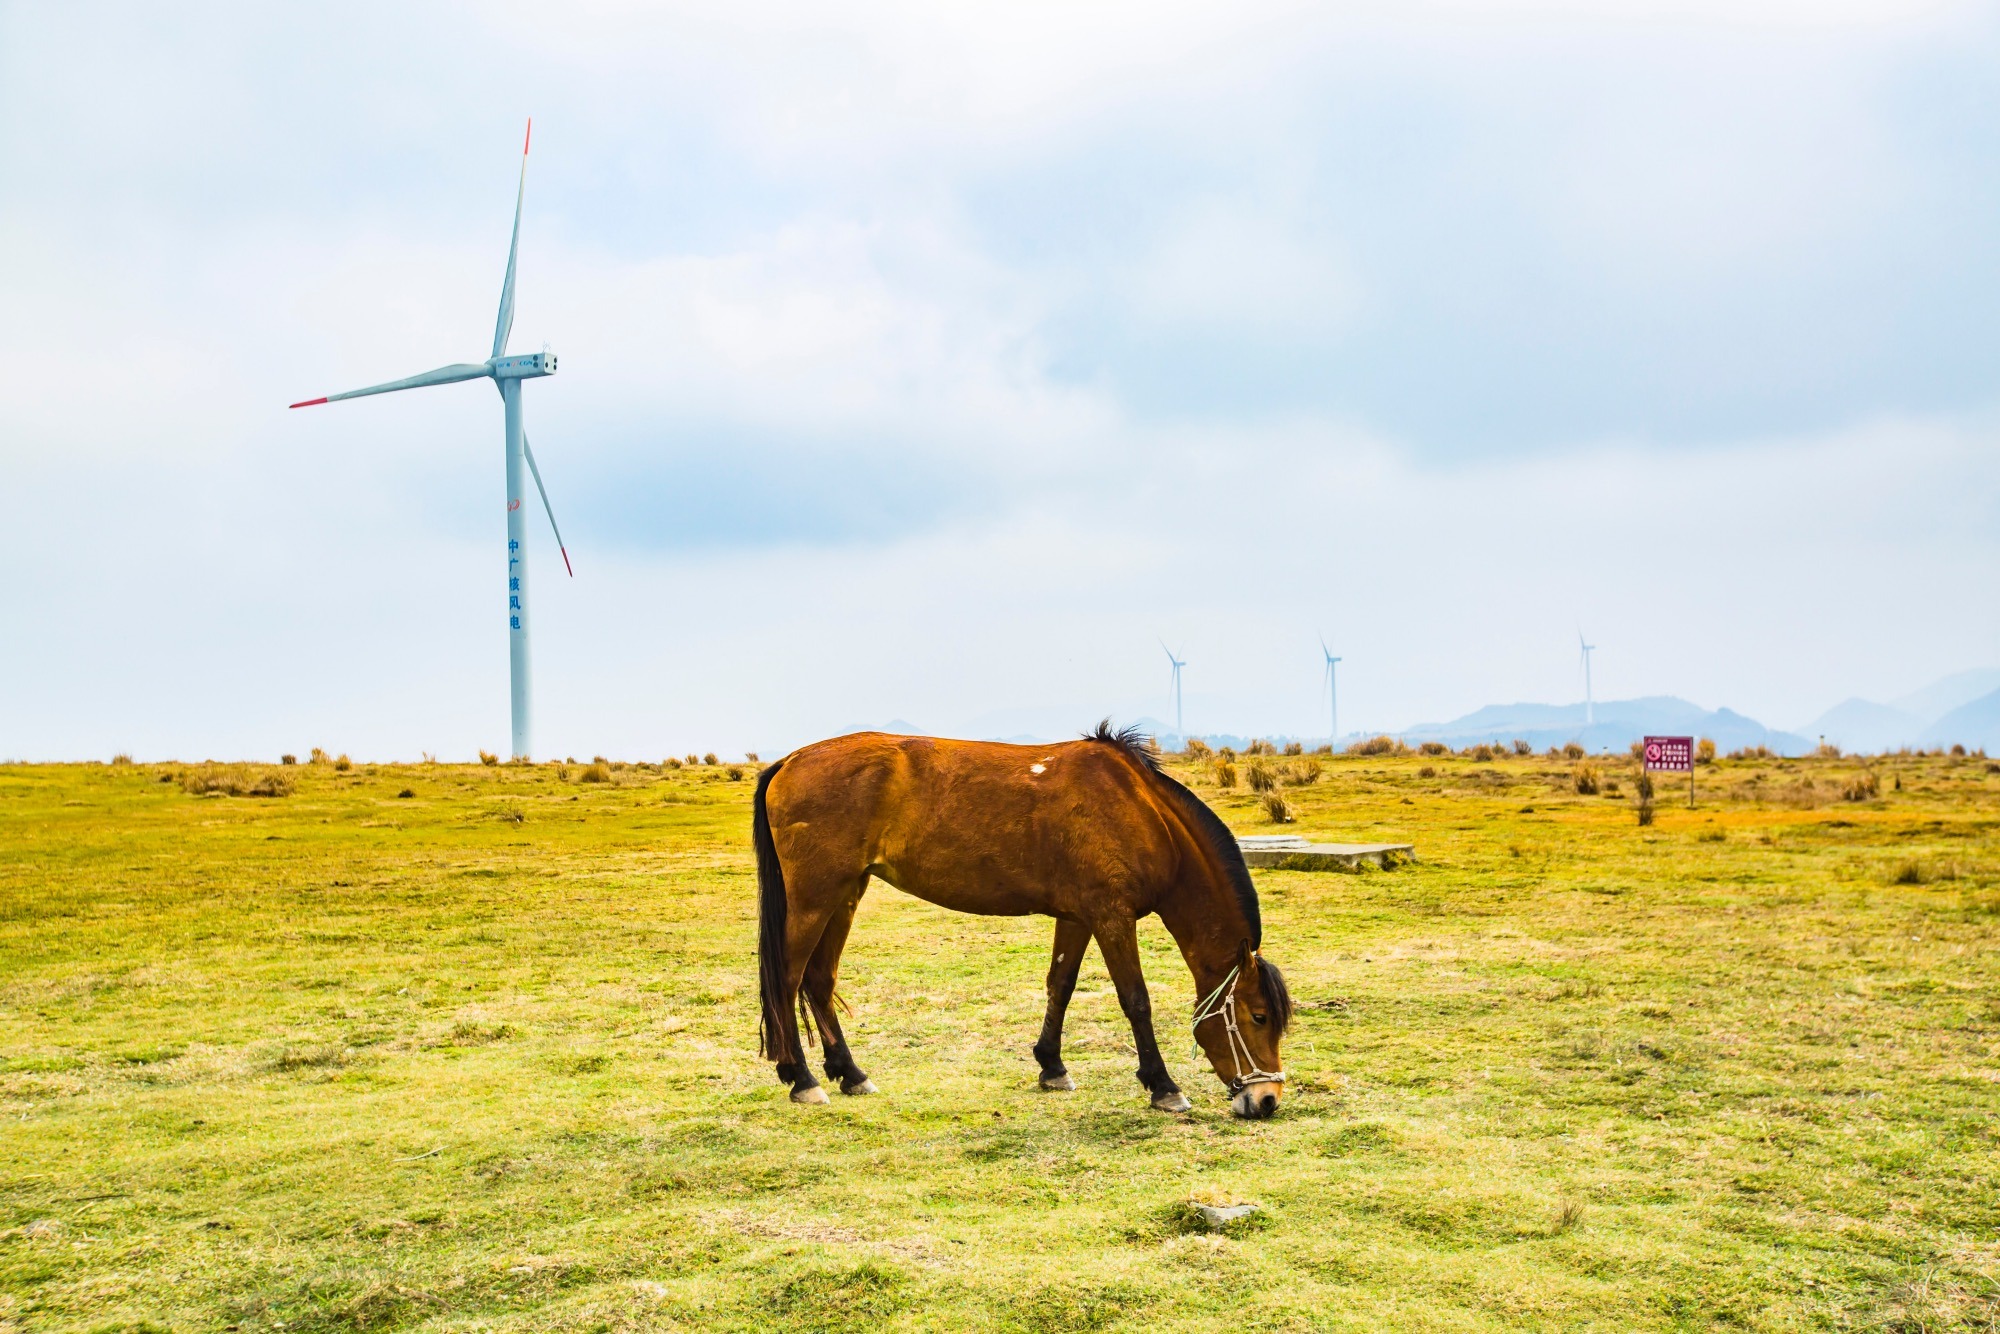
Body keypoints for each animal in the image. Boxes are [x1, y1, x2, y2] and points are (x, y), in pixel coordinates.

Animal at [752, 724, 1296, 1112]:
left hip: (845, 894)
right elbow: (1135, 1000)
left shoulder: (1078, 918)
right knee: (788, 979)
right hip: (815, 898)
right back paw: (802, 1079)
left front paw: (1051, 1067)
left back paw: (850, 1073)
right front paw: (1163, 1086)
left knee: (819, 981)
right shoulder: (1112, 917)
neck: (1140, 810)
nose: (1266, 1100)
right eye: (1258, 1016)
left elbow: (1061, 985)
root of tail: (789, 762)